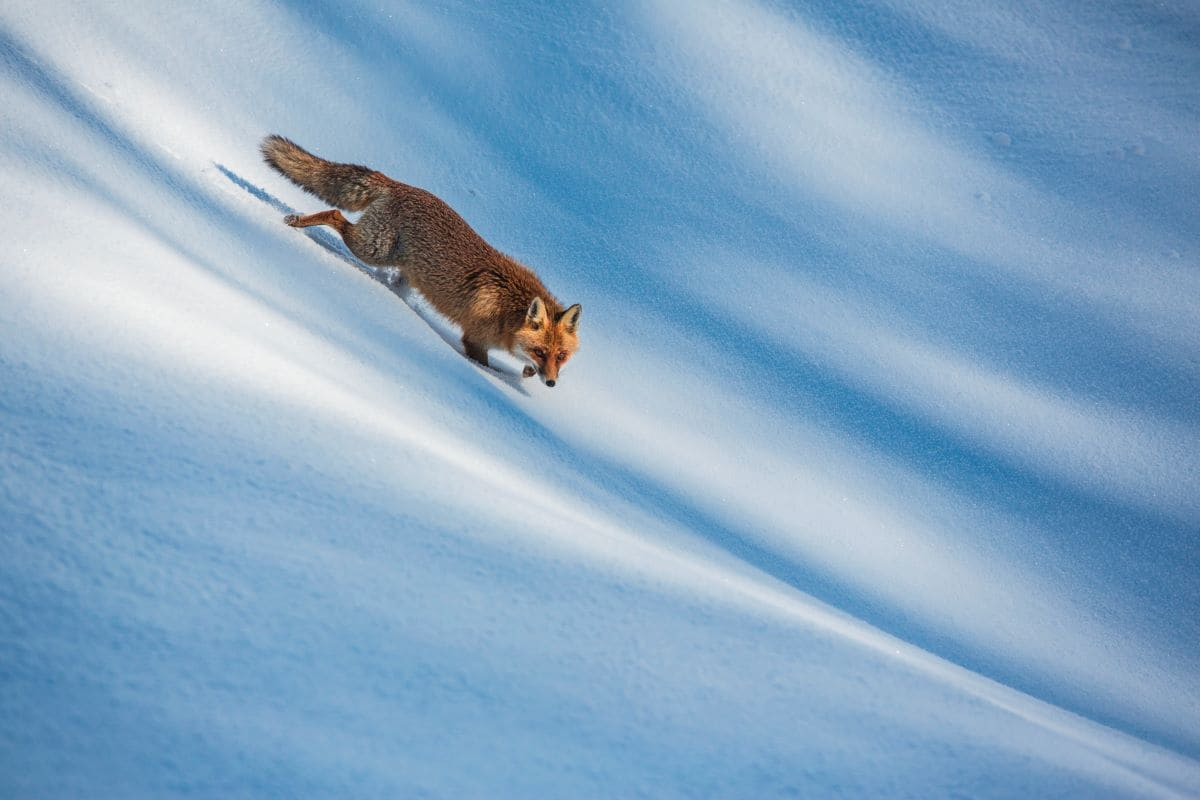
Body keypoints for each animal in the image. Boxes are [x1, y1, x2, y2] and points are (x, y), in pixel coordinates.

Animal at [261, 134, 580, 388]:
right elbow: (490, 369)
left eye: (561, 356)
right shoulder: (474, 341)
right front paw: (509, 378)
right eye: (540, 352)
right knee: (335, 214)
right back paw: (297, 221)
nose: (552, 383)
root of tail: (398, 184)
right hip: (372, 248)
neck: (509, 308)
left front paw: (526, 373)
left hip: (403, 270)